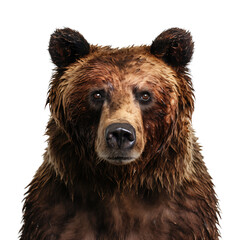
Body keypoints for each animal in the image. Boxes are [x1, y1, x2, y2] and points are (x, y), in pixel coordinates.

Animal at [20, 27, 219, 239]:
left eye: (145, 95)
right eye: (97, 94)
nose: (120, 133)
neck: (121, 181)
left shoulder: (185, 217)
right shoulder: (54, 214)